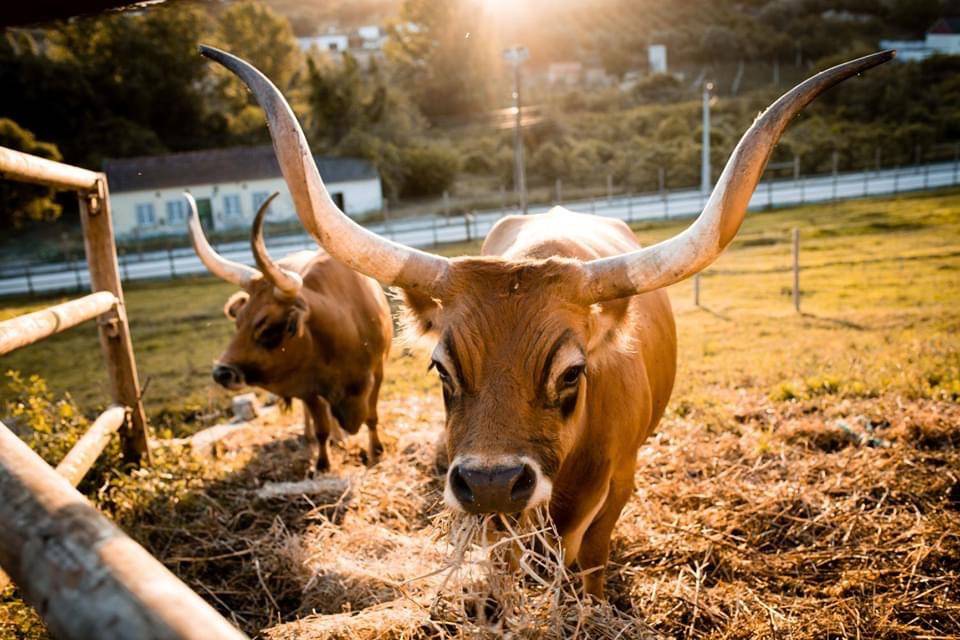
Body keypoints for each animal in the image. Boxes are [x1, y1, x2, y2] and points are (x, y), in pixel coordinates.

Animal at [186, 192, 392, 472]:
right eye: (238, 321)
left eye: (267, 326)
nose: (222, 373)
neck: (344, 331)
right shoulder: (308, 385)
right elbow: (321, 426)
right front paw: (322, 464)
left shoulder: (378, 371)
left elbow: (372, 416)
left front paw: (376, 452)